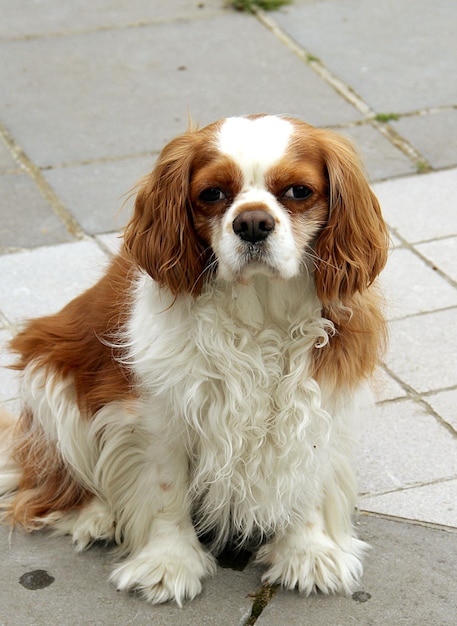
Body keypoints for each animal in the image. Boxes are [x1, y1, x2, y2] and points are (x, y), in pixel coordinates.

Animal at [0, 114, 386, 604]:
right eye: (212, 194)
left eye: (299, 191)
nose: (253, 223)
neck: (259, 311)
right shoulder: (156, 413)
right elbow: (166, 491)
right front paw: (169, 562)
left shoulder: (318, 403)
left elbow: (310, 478)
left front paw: (309, 551)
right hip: (49, 376)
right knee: (52, 482)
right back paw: (98, 514)